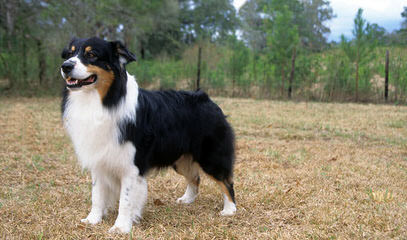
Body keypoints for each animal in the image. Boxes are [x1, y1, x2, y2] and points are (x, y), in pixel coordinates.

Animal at [61, 36, 239, 233]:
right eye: (69, 54)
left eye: (91, 54)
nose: (65, 66)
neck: (105, 100)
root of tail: (207, 99)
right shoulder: (99, 159)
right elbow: (97, 194)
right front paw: (92, 220)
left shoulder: (131, 165)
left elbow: (125, 199)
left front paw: (121, 227)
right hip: (180, 159)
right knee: (195, 178)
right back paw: (187, 199)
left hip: (211, 156)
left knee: (226, 181)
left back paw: (230, 209)